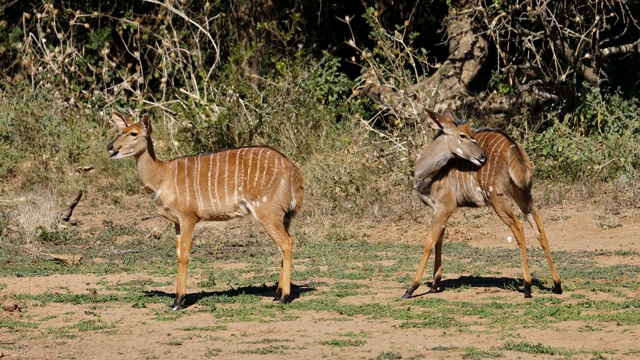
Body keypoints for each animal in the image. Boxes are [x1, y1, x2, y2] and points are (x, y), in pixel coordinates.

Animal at [105, 112, 304, 310]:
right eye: (120, 131)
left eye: (133, 133)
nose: (110, 147)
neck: (162, 177)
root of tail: (292, 168)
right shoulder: (177, 222)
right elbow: (178, 253)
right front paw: (176, 299)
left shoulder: (188, 217)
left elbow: (184, 254)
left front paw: (178, 301)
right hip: (281, 216)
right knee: (283, 244)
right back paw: (277, 293)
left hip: (267, 211)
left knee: (286, 242)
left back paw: (285, 296)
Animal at [404, 108, 560, 300]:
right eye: (463, 135)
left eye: (471, 134)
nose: (482, 156)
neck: (428, 176)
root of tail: (513, 147)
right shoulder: (438, 209)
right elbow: (439, 240)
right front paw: (434, 285)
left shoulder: (445, 207)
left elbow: (429, 242)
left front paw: (411, 288)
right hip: (523, 195)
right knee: (539, 227)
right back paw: (557, 284)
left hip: (497, 198)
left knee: (519, 226)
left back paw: (527, 287)